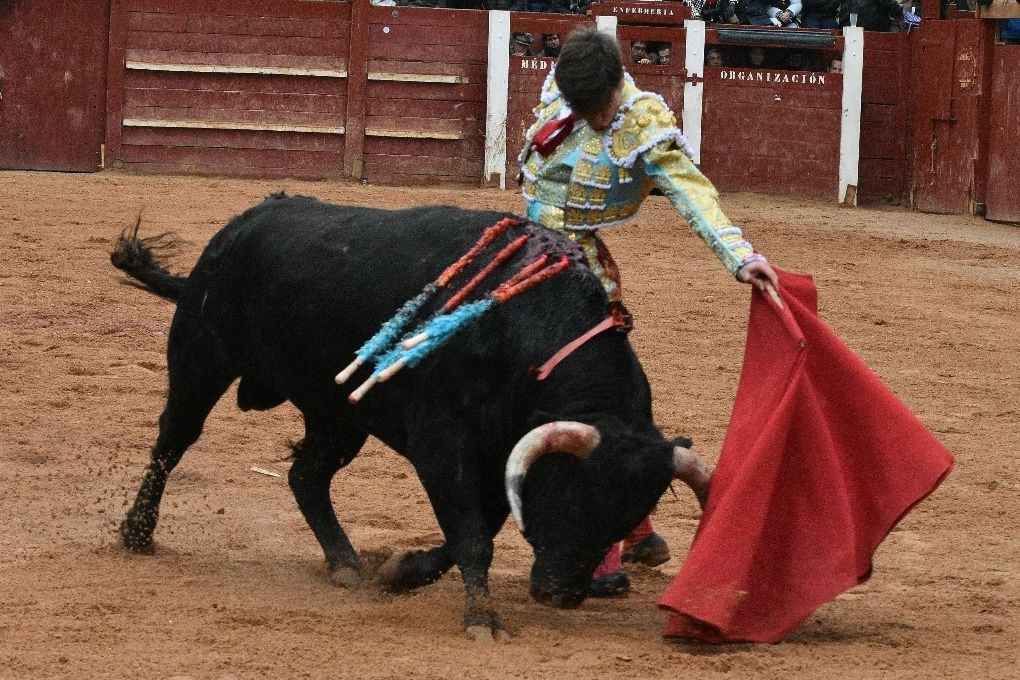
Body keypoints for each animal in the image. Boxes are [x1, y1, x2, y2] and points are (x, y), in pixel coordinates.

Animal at [107, 192, 705, 640]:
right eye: (572, 496)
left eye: (627, 517)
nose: (560, 594)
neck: (525, 327)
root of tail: (238, 226)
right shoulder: (443, 443)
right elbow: (472, 533)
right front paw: (482, 619)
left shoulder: (500, 453)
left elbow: (475, 529)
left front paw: (401, 573)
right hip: (200, 359)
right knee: (172, 441)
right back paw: (136, 533)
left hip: (338, 414)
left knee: (306, 475)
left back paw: (345, 562)